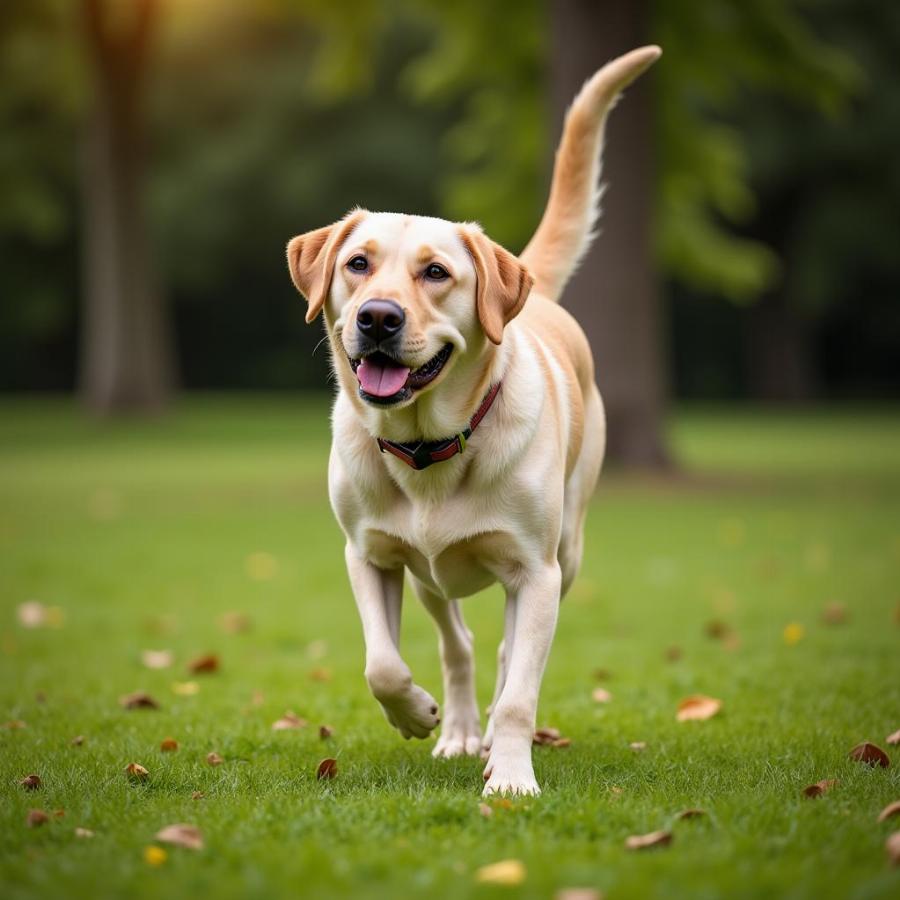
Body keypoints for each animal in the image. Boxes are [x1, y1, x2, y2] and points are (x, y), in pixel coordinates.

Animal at [288, 47, 660, 796]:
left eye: (436, 273)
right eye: (357, 263)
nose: (377, 317)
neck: (427, 446)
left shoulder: (536, 572)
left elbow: (518, 688)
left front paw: (511, 777)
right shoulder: (368, 554)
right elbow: (382, 663)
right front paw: (417, 713)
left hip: (568, 548)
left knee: (508, 654)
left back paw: (487, 736)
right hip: (429, 577)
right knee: (456, 642)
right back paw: (458, 728)